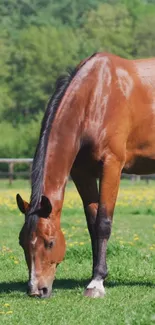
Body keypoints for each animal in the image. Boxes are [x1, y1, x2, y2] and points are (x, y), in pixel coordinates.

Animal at [16, 52, 155, 298]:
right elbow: (92, 223)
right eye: (22, 242)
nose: (36, 290)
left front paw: (96, 283)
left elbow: (103, 222)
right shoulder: (82, 173)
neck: (97, 96)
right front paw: (97, 274)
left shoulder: (111, 166)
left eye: (50, 242)